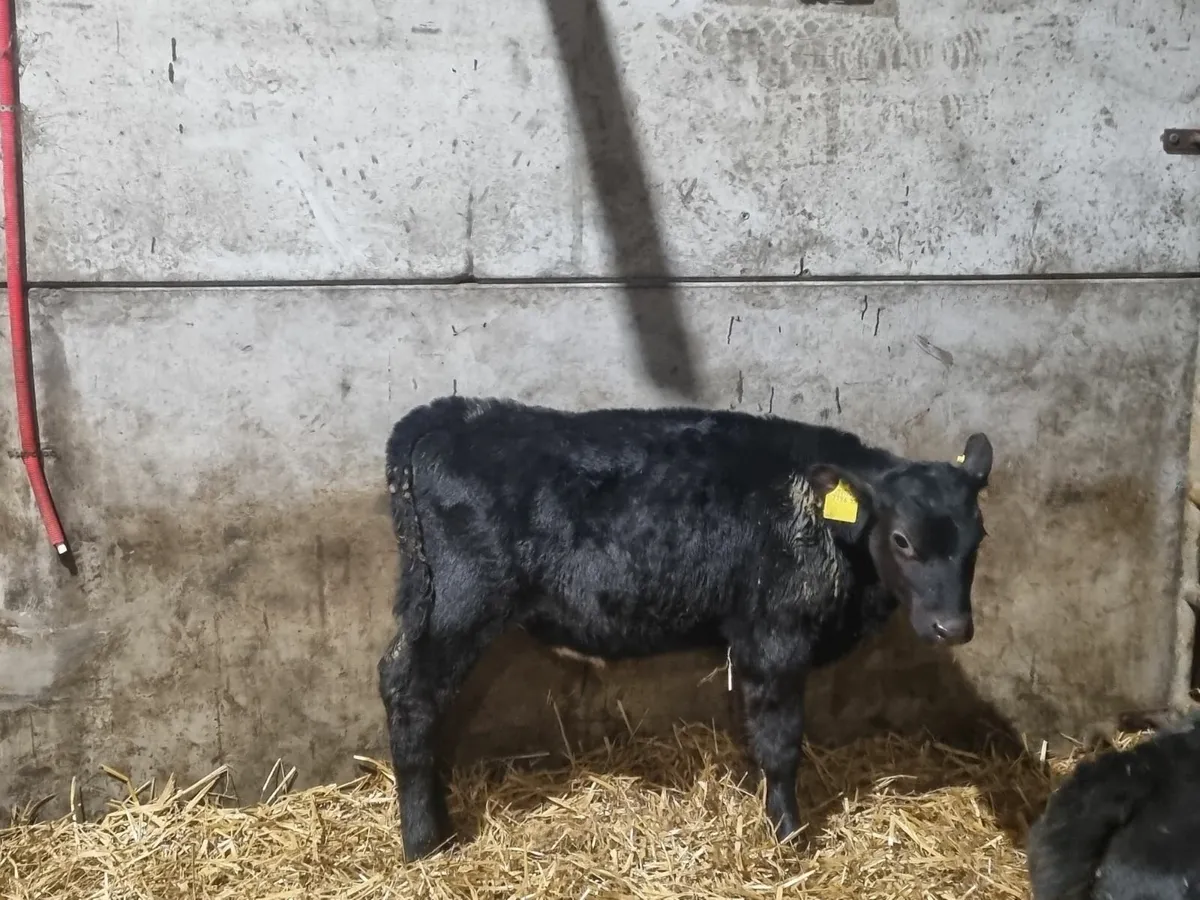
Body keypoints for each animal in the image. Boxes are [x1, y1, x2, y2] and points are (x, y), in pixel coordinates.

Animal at [377, 395, 994, 861]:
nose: (952, 627)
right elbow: (781, 742)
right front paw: (789, 836)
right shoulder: (776, 636)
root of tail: (448, 412)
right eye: (902, 540)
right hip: (458, 604)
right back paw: (424, 841)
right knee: (409, 694)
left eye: (978, 538)